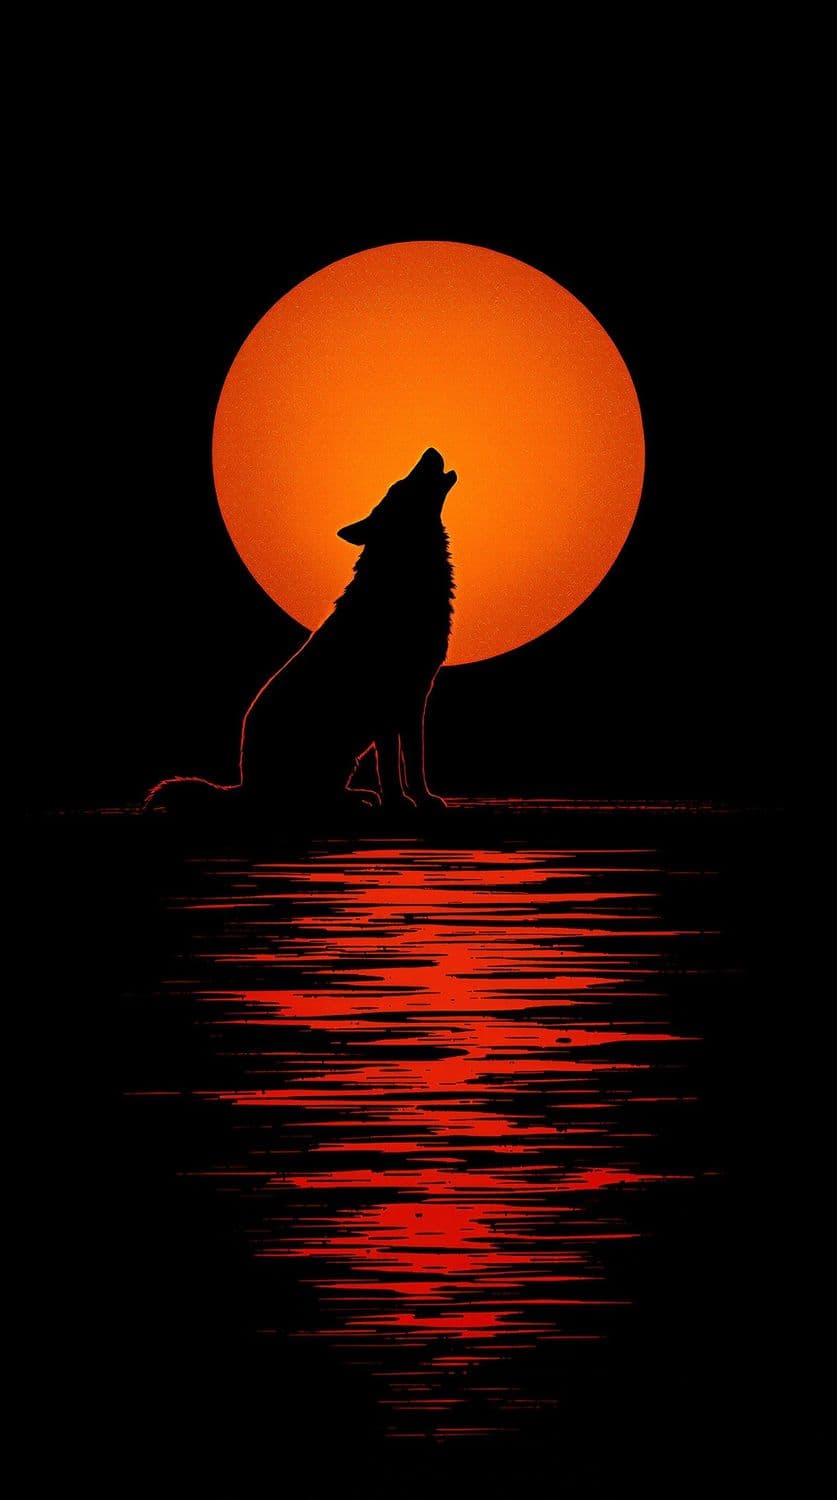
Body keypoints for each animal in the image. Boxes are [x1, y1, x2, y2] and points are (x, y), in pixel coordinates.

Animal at [144, 448, 457, 816]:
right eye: (399, 487)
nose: (430, 450)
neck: (402, 577)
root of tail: (246, 786)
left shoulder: (414, 700)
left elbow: (415, 762)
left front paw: (424, 799)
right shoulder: (390, 704)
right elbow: (394, 766)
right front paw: (401, 802)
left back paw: (357, 796)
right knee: (307, 798)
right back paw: (355, 800)